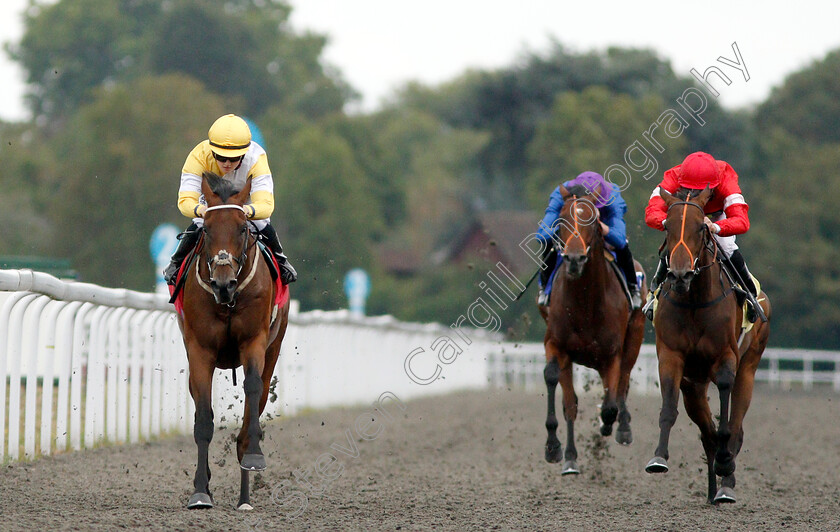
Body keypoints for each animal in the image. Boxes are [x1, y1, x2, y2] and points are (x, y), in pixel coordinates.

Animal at [176, 172, 288, 510]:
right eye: (207, 229)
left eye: (242, 227)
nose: (223, 284)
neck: (228, 301)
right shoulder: (200, 350)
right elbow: (203, 419)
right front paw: (201, 491)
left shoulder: (254, 341)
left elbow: (252, 390)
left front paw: (254, 457)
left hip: (274, 349)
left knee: (254, 407)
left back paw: (245, 497)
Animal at [540, 184, 648, 474]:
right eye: (561, 219)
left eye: (593, 220)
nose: (574, 258)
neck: (584, 303)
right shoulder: (556, 344)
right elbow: (560, 390)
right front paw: (557, 449)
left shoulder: (612, 353)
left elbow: (610, 404)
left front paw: (610, 424)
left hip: (634, 337)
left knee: (622, 385)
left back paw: (622, 428)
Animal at [644, 187, 776, 502]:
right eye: (667, 227)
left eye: (700, 228)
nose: (680, 274)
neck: (694, 300)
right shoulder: (672, 358)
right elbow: (669, 409)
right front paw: (659, 457)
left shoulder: (726, 357)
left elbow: (726, 419)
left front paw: (726, 464)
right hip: (694, 384)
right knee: (707, 432)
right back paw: (713, 488)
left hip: (749, 367)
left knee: (736, 425)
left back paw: (726, 483)